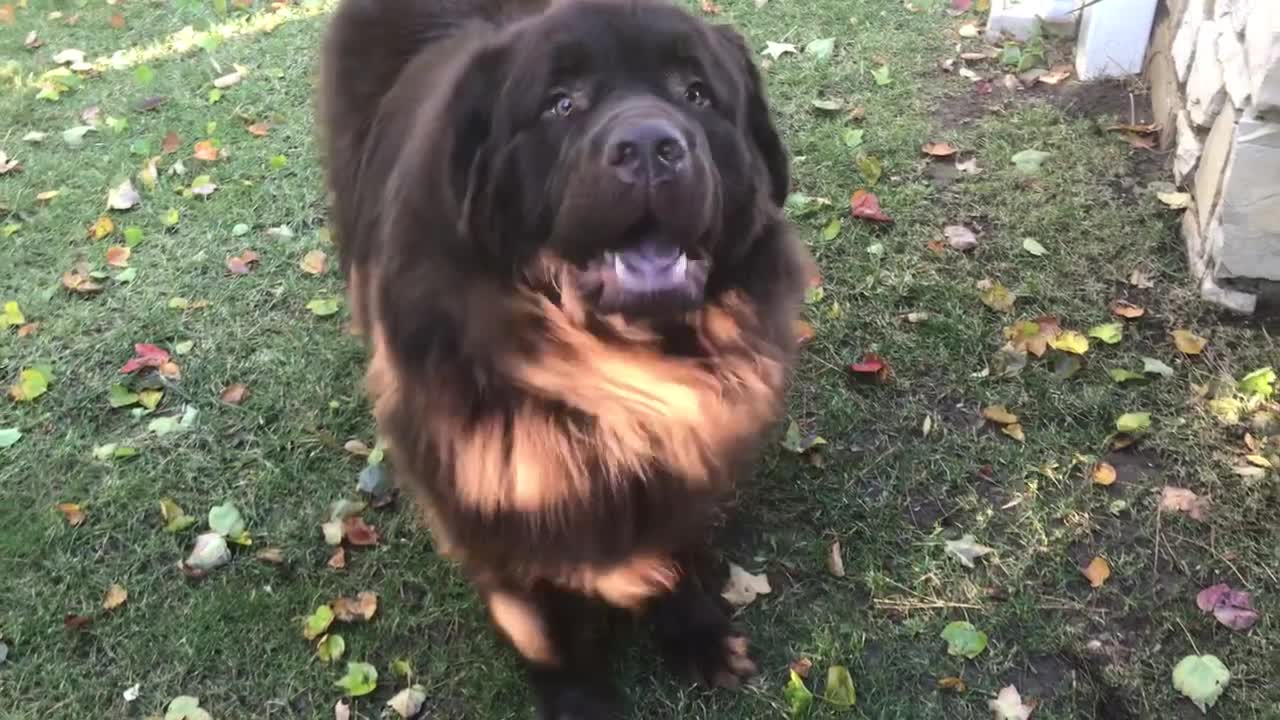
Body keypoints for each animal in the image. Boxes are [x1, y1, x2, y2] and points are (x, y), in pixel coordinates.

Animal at [320, 1, 814, 712]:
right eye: (561, 104)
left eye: (696, 94)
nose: (649, 147)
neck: (612, 370)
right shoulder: (495, 496)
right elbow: (542, 624)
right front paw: (579, 697)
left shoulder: (685, 453)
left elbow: (675, 548)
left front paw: (695, 632)